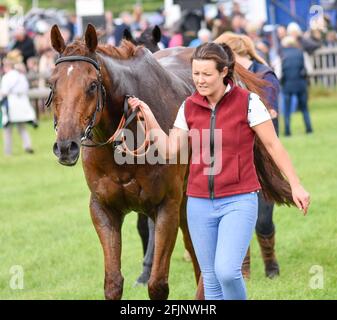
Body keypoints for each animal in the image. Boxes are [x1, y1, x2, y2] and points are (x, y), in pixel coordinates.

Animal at [48, 25, 198, 300]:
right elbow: (113, 282)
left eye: (92, 85)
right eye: (52, 84)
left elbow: (158, 284)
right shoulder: (103, 208)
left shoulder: (167, 206)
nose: (65, 146)